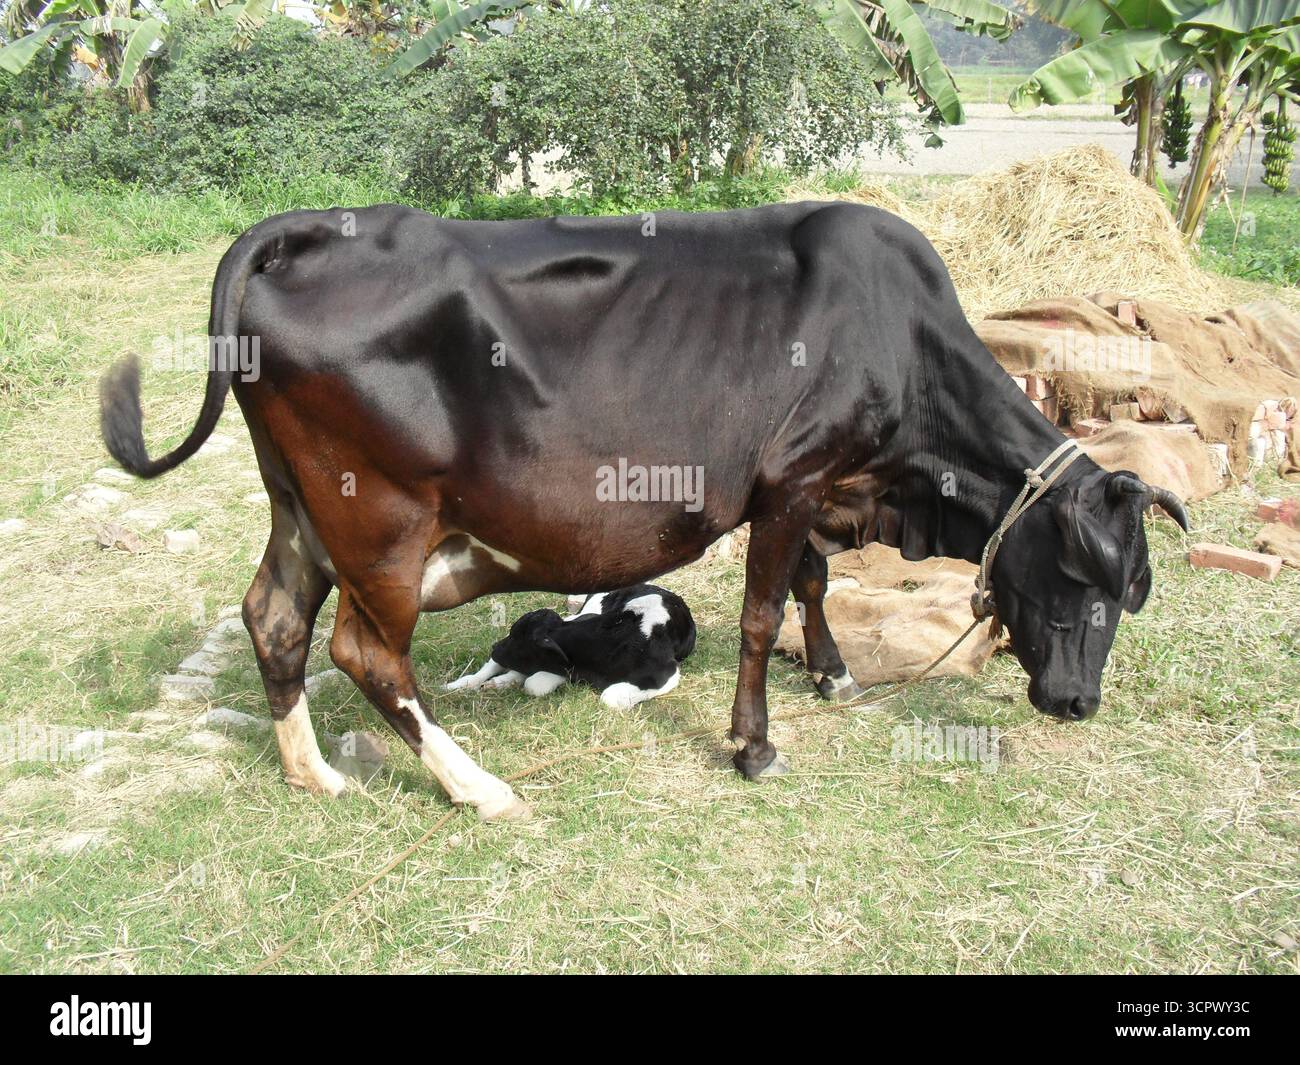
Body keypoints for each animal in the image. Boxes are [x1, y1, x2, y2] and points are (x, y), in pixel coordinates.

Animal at [445, 584, 696, 707]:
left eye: (517, 640)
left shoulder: (668, 673)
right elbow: (536, 682)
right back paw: (463, 685)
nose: (495, 647)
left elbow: (609, 698)